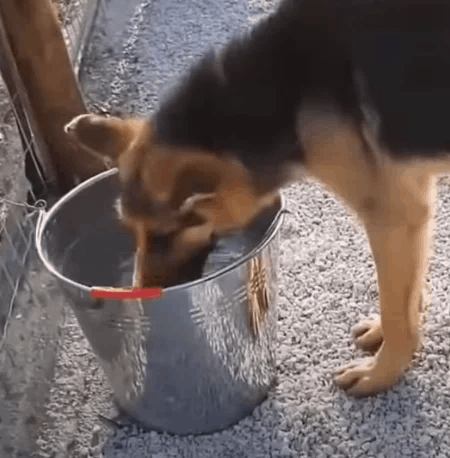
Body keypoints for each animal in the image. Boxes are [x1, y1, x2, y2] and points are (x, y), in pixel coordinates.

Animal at [64, 0, 450, 398]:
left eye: (168, 234)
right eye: (133, 230)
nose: (139, 298)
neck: (284, 91)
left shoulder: (393, 216)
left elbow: (397, 309)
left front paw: (381, 373)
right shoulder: (411, 207)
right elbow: (406, 292)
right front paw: (387, 334)